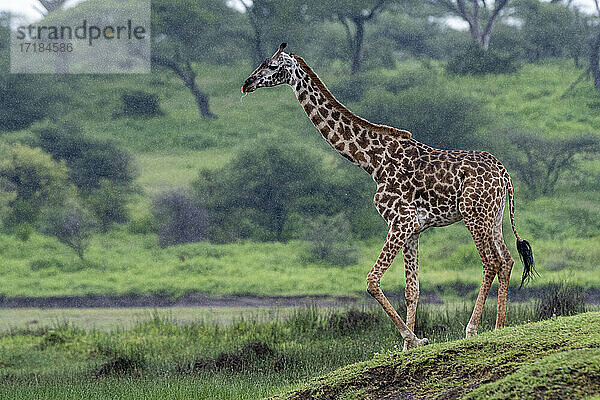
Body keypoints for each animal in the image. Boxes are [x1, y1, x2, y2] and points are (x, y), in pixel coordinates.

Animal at [241, 43, 536, 350]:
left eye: (272, 65)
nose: (246, 84)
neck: (373, 161)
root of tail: (504, 174)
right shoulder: (414, 228)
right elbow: (412, 289)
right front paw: (409, 346)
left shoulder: (400, 221)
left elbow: (372, 280)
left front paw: (414, 338)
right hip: (493, 215)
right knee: (506, 259)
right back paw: (500, 326)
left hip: (473, 214)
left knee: (491, 261)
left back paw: (473, 329)